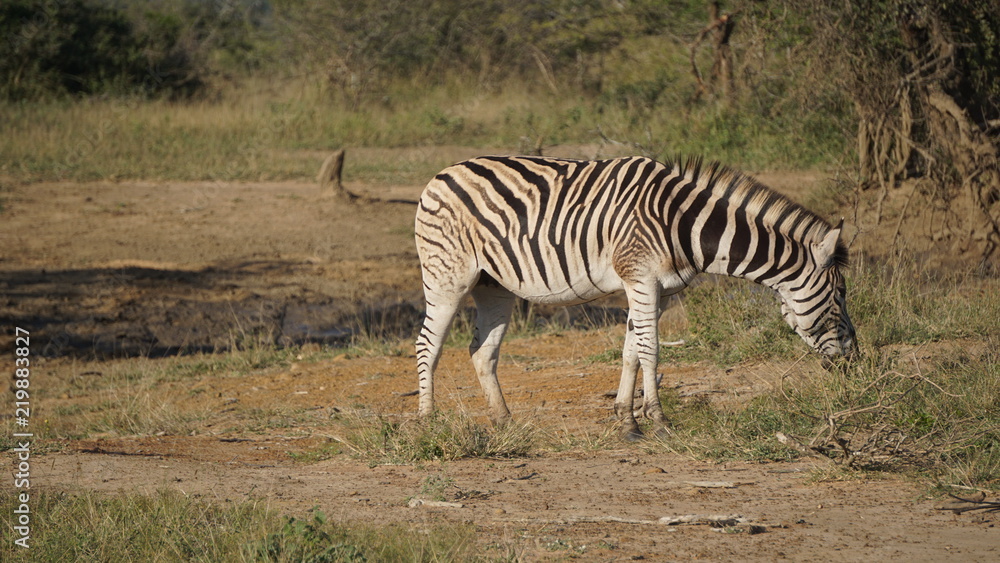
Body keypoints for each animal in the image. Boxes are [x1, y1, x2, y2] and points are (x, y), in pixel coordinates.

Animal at [414, 155, 855, 438]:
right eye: (840, 294)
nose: (854, 359)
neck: (682, 225)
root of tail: (441, 173)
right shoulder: (640, 278)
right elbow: (651, 350)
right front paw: (658, 420)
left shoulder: (657, 289)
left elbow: (631, 350)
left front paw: (627, 420)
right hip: (446, 277)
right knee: (427, 345)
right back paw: (428, 421)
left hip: (494, 286)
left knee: (481, 350)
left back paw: (505, 421)